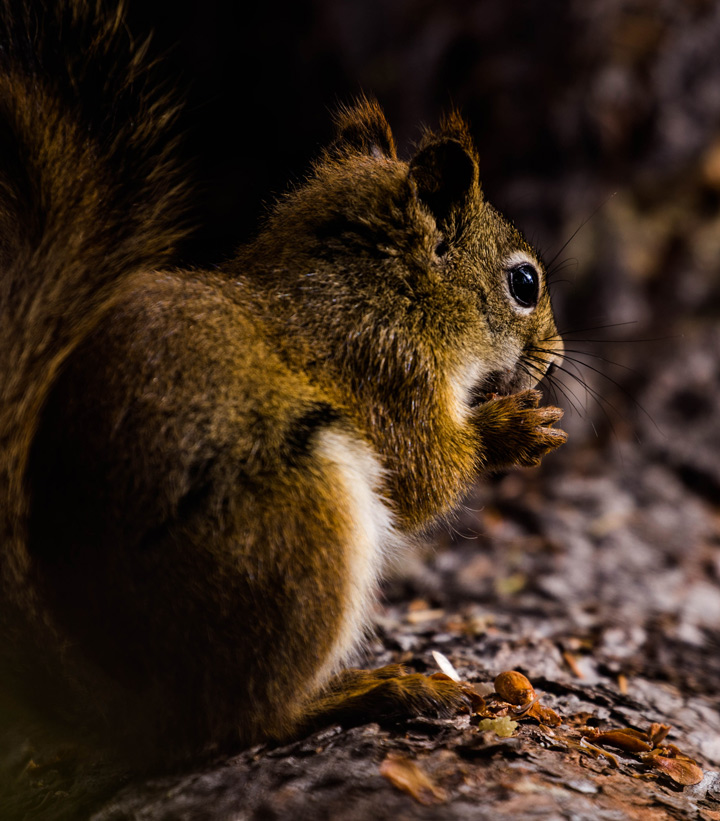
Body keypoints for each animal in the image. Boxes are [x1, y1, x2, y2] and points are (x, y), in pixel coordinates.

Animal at [0, 0, 564, 764]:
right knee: (249, 719)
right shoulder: (387, 368)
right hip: (299, 527)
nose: (557, 358)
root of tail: (131, 705)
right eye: (524, 283)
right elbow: (423, 476)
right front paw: (512, 429)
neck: (387, 289)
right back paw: (378, 690)